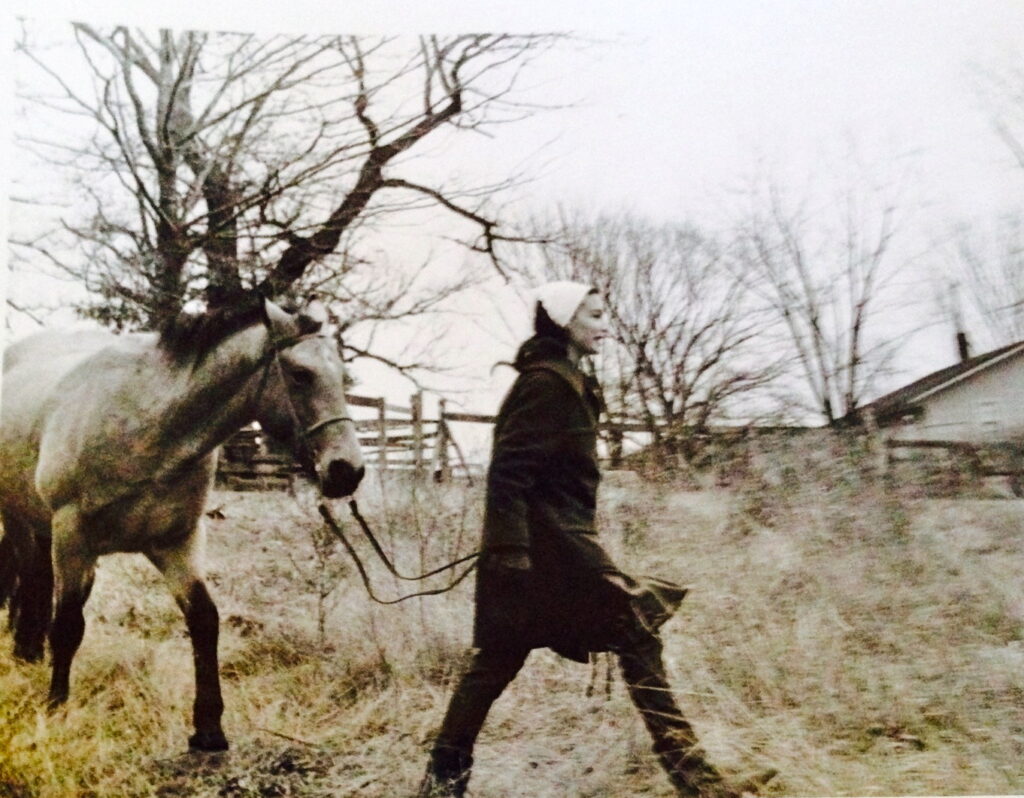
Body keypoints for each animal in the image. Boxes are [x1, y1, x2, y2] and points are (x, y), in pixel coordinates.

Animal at [0, 297, 365, 751]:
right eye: (300, 374)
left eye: (343, 377)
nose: (347, 470)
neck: (147, 429)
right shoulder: (73, 537)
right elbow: (67, 625)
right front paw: (56, 708)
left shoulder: (178, 542)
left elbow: (204, 620)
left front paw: (208, 728)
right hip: (20, 520)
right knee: (29, 578)